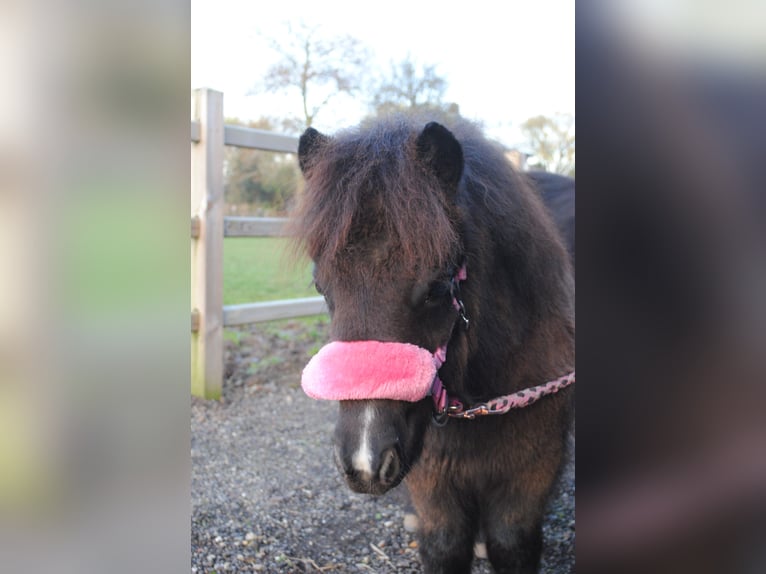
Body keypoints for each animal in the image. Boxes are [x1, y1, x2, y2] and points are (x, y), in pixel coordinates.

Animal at [294, 116, 576, 574]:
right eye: (321, 286)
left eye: (439, 287)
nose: (365, 462)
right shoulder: (435, 488)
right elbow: (445, 544)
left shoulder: (527, 480)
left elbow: (510, 541)